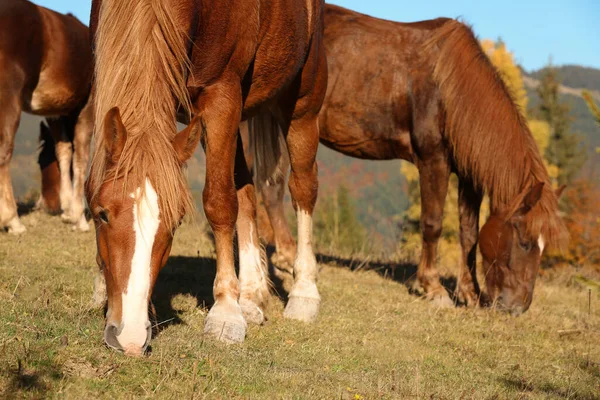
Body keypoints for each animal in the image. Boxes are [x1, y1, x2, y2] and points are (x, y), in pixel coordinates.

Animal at [0, 0, 93, 233]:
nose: (47, 205)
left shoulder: (56, 112)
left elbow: (64, 151)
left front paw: (68, 210)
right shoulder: (87, 107)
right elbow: (81, 156)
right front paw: (79, 217)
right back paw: (12, 220)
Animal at [86, 0, 326, 354]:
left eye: (176, 223)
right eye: (102, 214)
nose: (129, 337)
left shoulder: (221, 96)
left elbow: (219, 202)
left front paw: (225, 312)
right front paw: (102, 290)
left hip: (302, 103)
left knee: (303, 189)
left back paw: (304, 294)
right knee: (245, 189)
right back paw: (252, 296)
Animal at [252, 4, 568, 314]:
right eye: (525, 242)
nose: (517, 308)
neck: (450, 90)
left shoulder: (470, 177)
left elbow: (469, 233)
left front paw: (470, 293)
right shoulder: (433, 161)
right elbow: (432, 223)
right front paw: (433, 287)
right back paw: (287, 257)